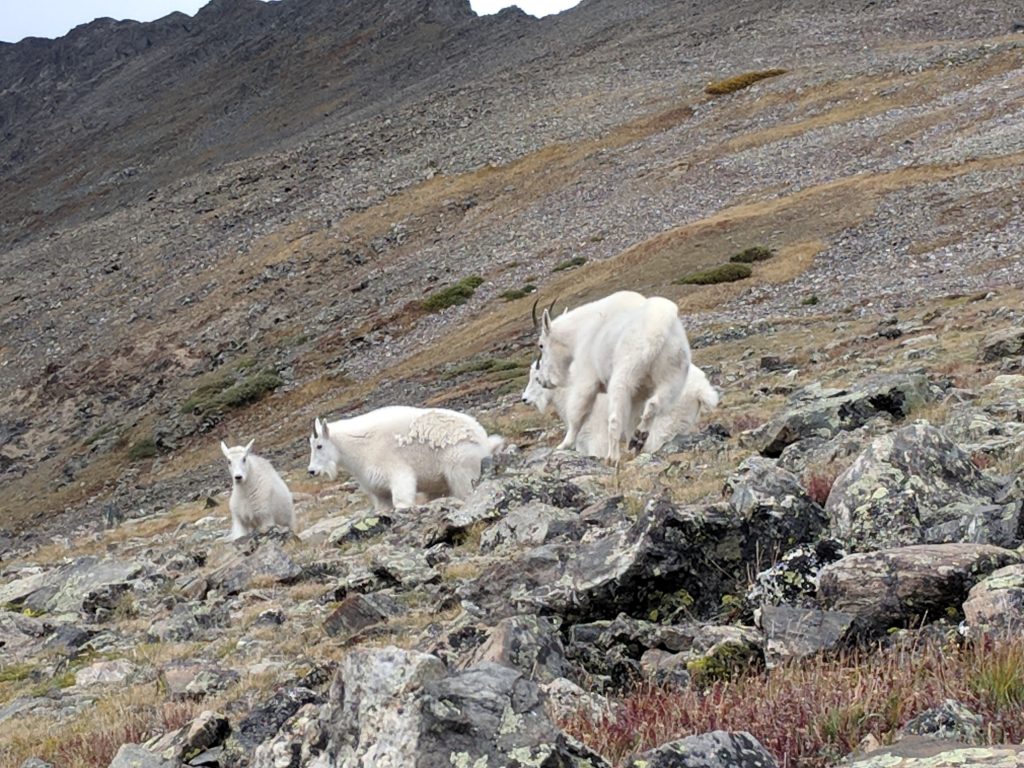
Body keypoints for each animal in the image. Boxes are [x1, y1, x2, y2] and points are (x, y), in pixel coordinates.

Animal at [307, 405, 507, 514]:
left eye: (319, 446)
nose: (312, 471)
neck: (358, 445)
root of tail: (484, 442)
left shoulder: (397, 472)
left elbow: (402, 499)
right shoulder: (378, 490)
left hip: (461, 468)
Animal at [536, 292, 696, 462]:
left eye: (541, 345)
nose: (541, 380)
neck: (580, 333)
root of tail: (660, 327)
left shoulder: (586, 379)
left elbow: (576, 415)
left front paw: (563, 445)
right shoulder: (639, 392)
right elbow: (633, 419)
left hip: (624, 374)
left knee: (614, 419)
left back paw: (612, 457)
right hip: (674, 374)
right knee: (653, 405)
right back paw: (638, 439)